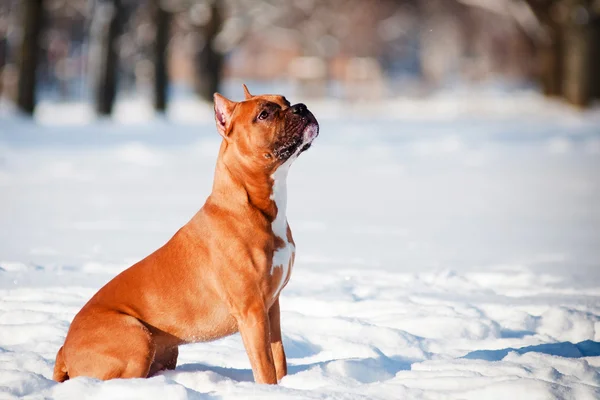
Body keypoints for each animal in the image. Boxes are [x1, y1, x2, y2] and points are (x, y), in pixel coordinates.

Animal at [52, 85, 318, 384]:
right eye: (264, 114)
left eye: (285, 100)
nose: (301, 107)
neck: (253, 205)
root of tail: (63, 350)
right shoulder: (252, 310)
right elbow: (266, 368)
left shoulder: (272, 307)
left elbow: (279, 358)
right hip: (136, 337)